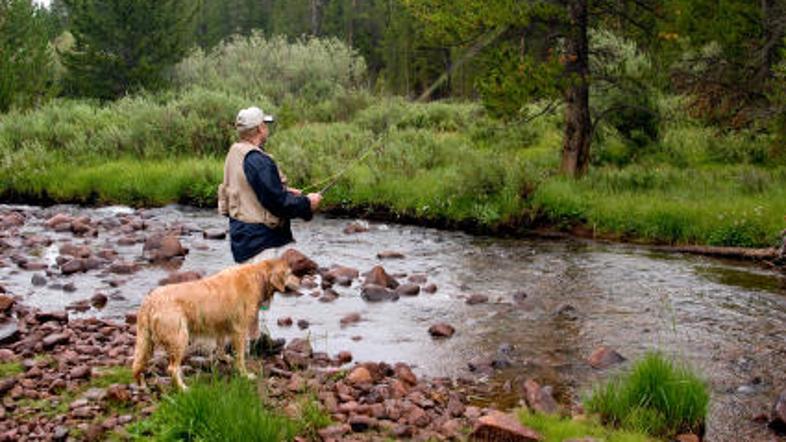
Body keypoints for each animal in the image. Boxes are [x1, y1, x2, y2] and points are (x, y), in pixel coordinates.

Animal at [132, 258, 298, 388]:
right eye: (291, 273)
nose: (301, 281)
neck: (258, 276)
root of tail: (150, 300)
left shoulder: (221, 325)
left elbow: (220, 346)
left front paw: (224, 358)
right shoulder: (240, 329)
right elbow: (240, 357)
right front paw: (245, 374)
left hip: (146, 340)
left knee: (137, 366)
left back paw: (142, 385)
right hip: (179, 337)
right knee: (172, 368)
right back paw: (183, 388)